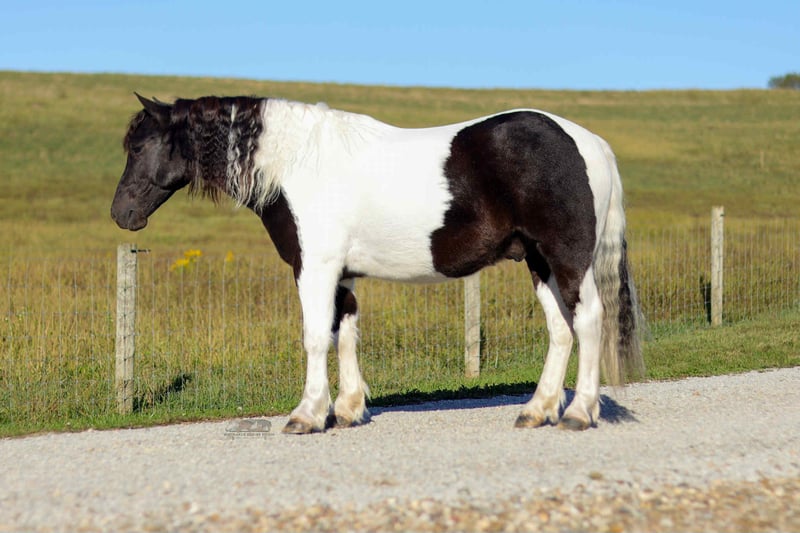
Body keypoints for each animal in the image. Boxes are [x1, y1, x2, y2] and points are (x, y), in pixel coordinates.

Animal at [111, 93, 644, 434]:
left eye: (139, 146)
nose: (122, 214)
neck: (299, 164)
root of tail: (589, 142)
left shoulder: (315, 267)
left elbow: (314, 337)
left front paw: (307, 415)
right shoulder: (341, 274)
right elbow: (345, 332)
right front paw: (348, 409)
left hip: (566, 258)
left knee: (588, 322)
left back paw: (578, 413)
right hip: (538, 262)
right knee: (560, 330)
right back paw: (537, 410)